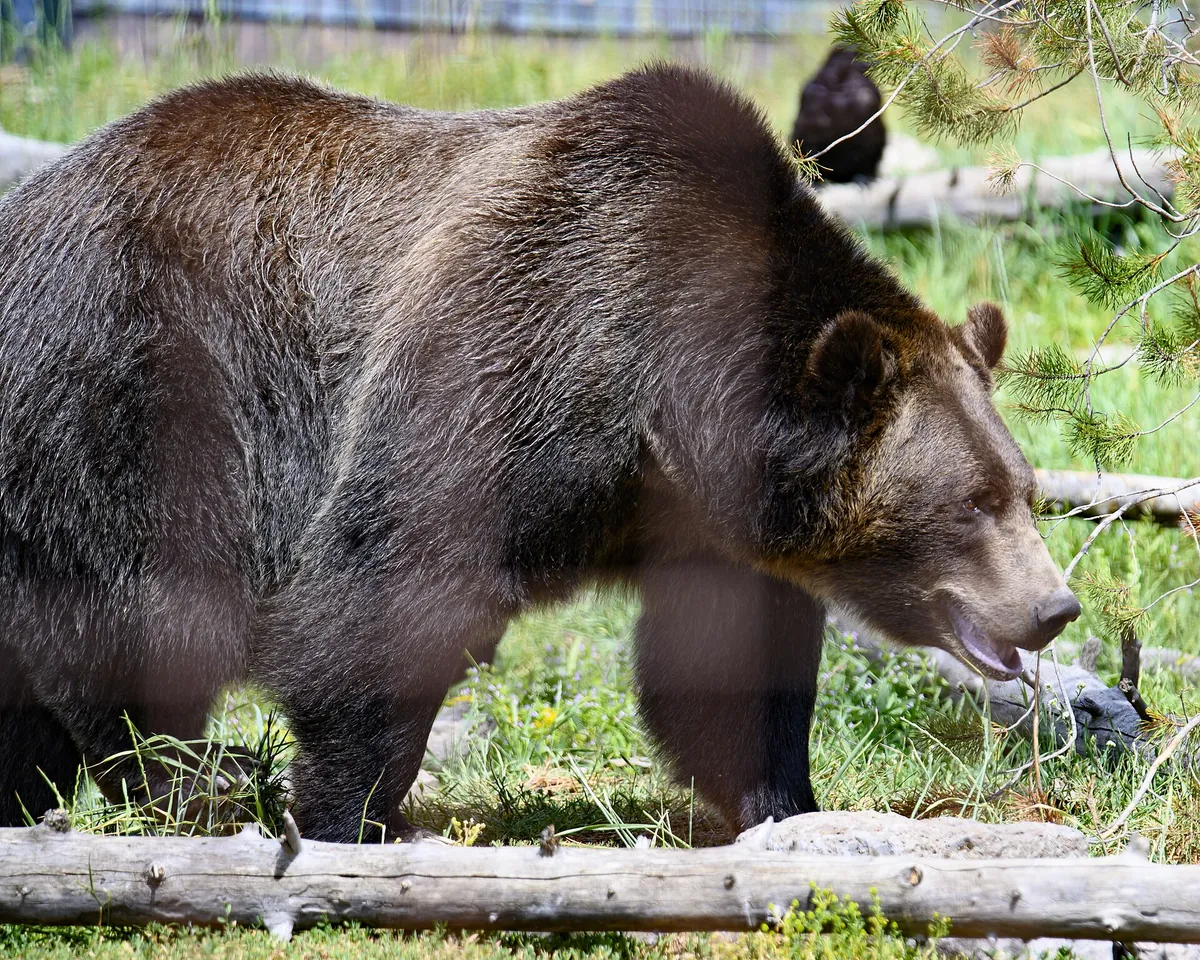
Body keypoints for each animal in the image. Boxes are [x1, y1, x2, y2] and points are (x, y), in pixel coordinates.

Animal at [0, 64, 1080, 841]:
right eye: (973, 501)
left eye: (1024, 488)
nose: (1054, 607)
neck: (665, 406)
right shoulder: (517, 336)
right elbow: (388, 582)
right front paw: (353, 812)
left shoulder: (699, 521)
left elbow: (727, 664)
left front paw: (782, 802)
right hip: (139, 388)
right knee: (134, 609)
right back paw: (180, 780)